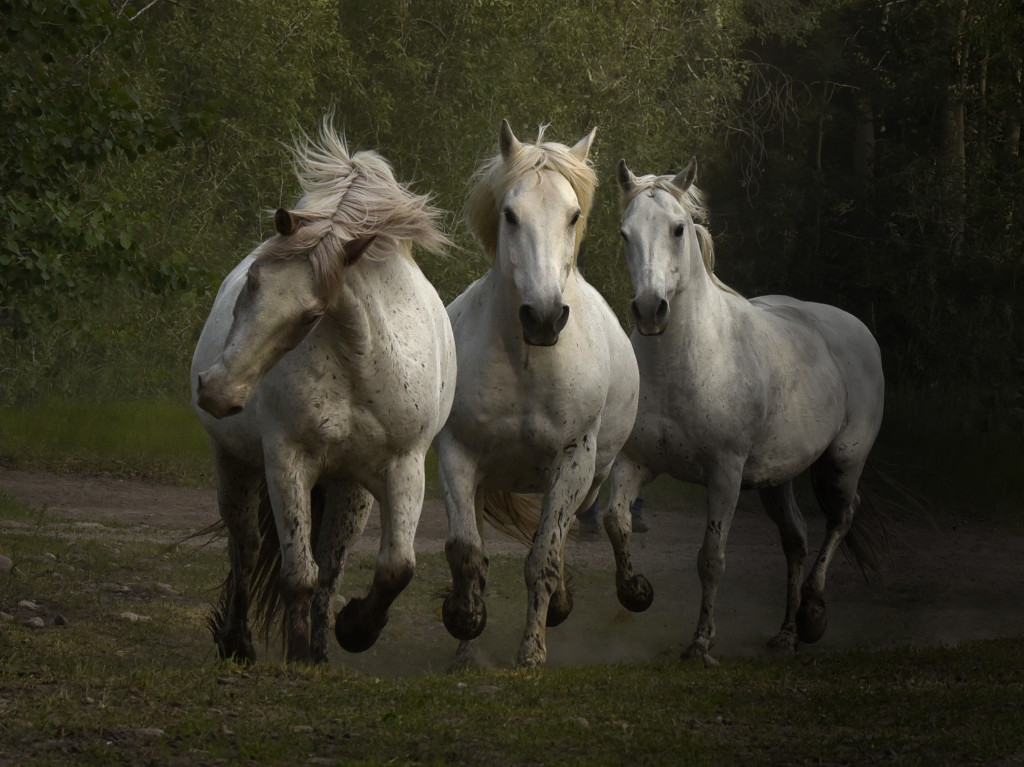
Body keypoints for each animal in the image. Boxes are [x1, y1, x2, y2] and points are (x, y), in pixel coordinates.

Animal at [189, 121, 460, 663]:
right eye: (252, 280)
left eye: (311, 314)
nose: (219, 391)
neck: (359, 360)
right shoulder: (287, 460)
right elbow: (298, 573)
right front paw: (297, 655)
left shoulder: (404, 466)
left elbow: (395, 567)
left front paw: (353, 629)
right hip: (235, 465)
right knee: (246, 547)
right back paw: (238, 643)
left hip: (348, 489)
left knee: (332, 563)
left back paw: (319, 648)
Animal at [438, 122, 638, 667]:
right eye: (510, 215)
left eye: (573, 216)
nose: (544, 317)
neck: (528, 364)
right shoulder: (458, 455)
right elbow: (467, 552)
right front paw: (464, 622)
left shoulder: (573, 461)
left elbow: (544, 556)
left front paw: (532, 654)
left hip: (592, 476)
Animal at [602, 156, 884, 663]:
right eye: (625, 233)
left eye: (677, 229)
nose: (651, 310)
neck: (684, 363)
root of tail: (855, 328)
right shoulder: (636, 462)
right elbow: (616, 523)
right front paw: (636, 593)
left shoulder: (725, 473)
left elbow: (711, 559)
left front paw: (701, 643)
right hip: (777, 477)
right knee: (796, 539)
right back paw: (786, 634)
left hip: (843, 462)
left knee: (840, 519)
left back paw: (813, 615)